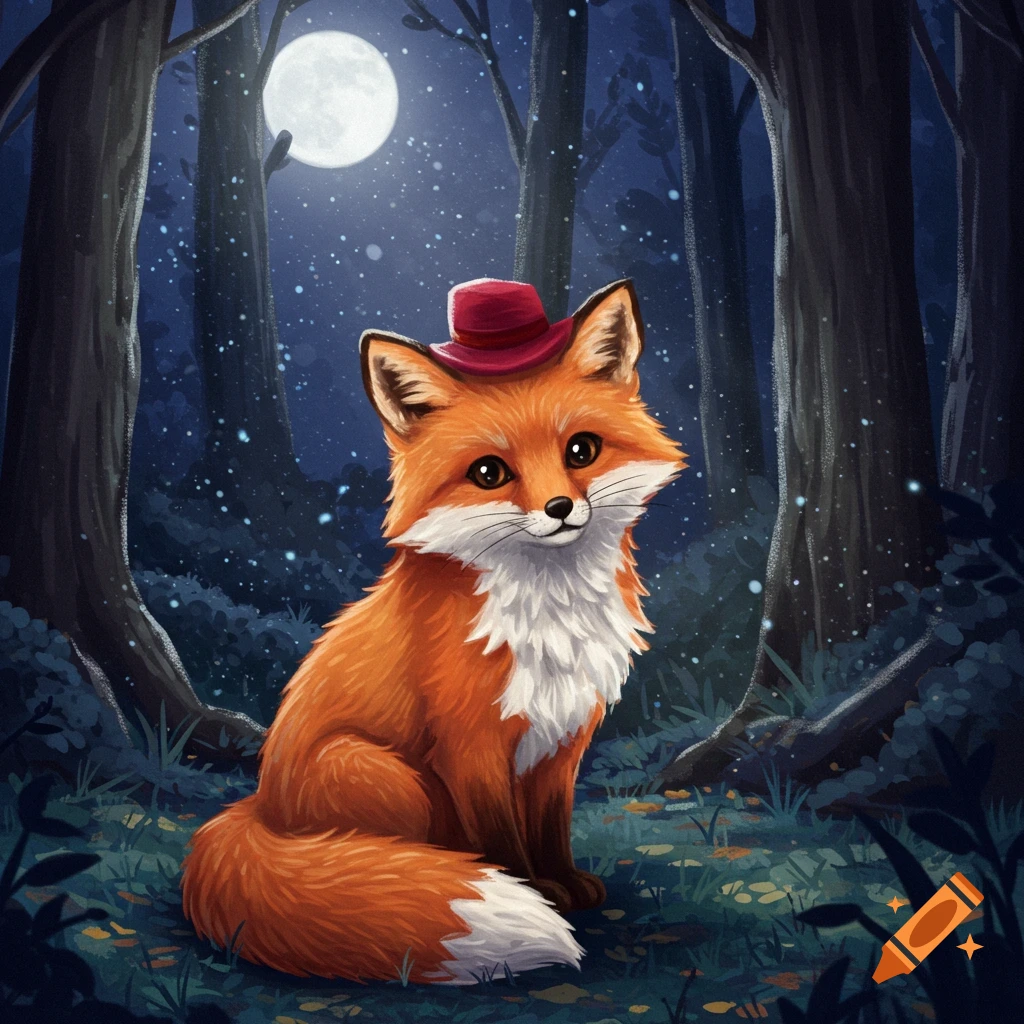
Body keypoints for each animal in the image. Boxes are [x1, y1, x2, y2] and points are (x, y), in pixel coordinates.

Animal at [180, 278, 685, 984]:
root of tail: (258, 808)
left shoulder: (562, 737)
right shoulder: (470, 744)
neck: (548, 611)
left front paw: (565, 883)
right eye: (489, 473)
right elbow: (504, 839)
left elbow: (551, 826)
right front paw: (532, 890)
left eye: (581, 450)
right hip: (390, 778)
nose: (560, 509)